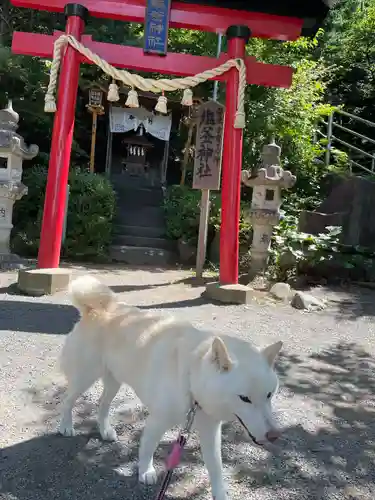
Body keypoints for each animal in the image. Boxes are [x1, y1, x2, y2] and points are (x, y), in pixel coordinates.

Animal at [58, 276, 284, 498]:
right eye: (245, 398)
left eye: (269, 395)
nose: (274, 435)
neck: (192, 379)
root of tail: (97, 309)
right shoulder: (157, 421)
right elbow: (147, 446)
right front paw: (146, 471)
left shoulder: (210, 430)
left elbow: (216, 469)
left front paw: (220, 494)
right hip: (85, 378)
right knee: (68, 401)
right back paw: (66, 426)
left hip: (114, 381)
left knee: (102, 405)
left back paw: (105, 431)